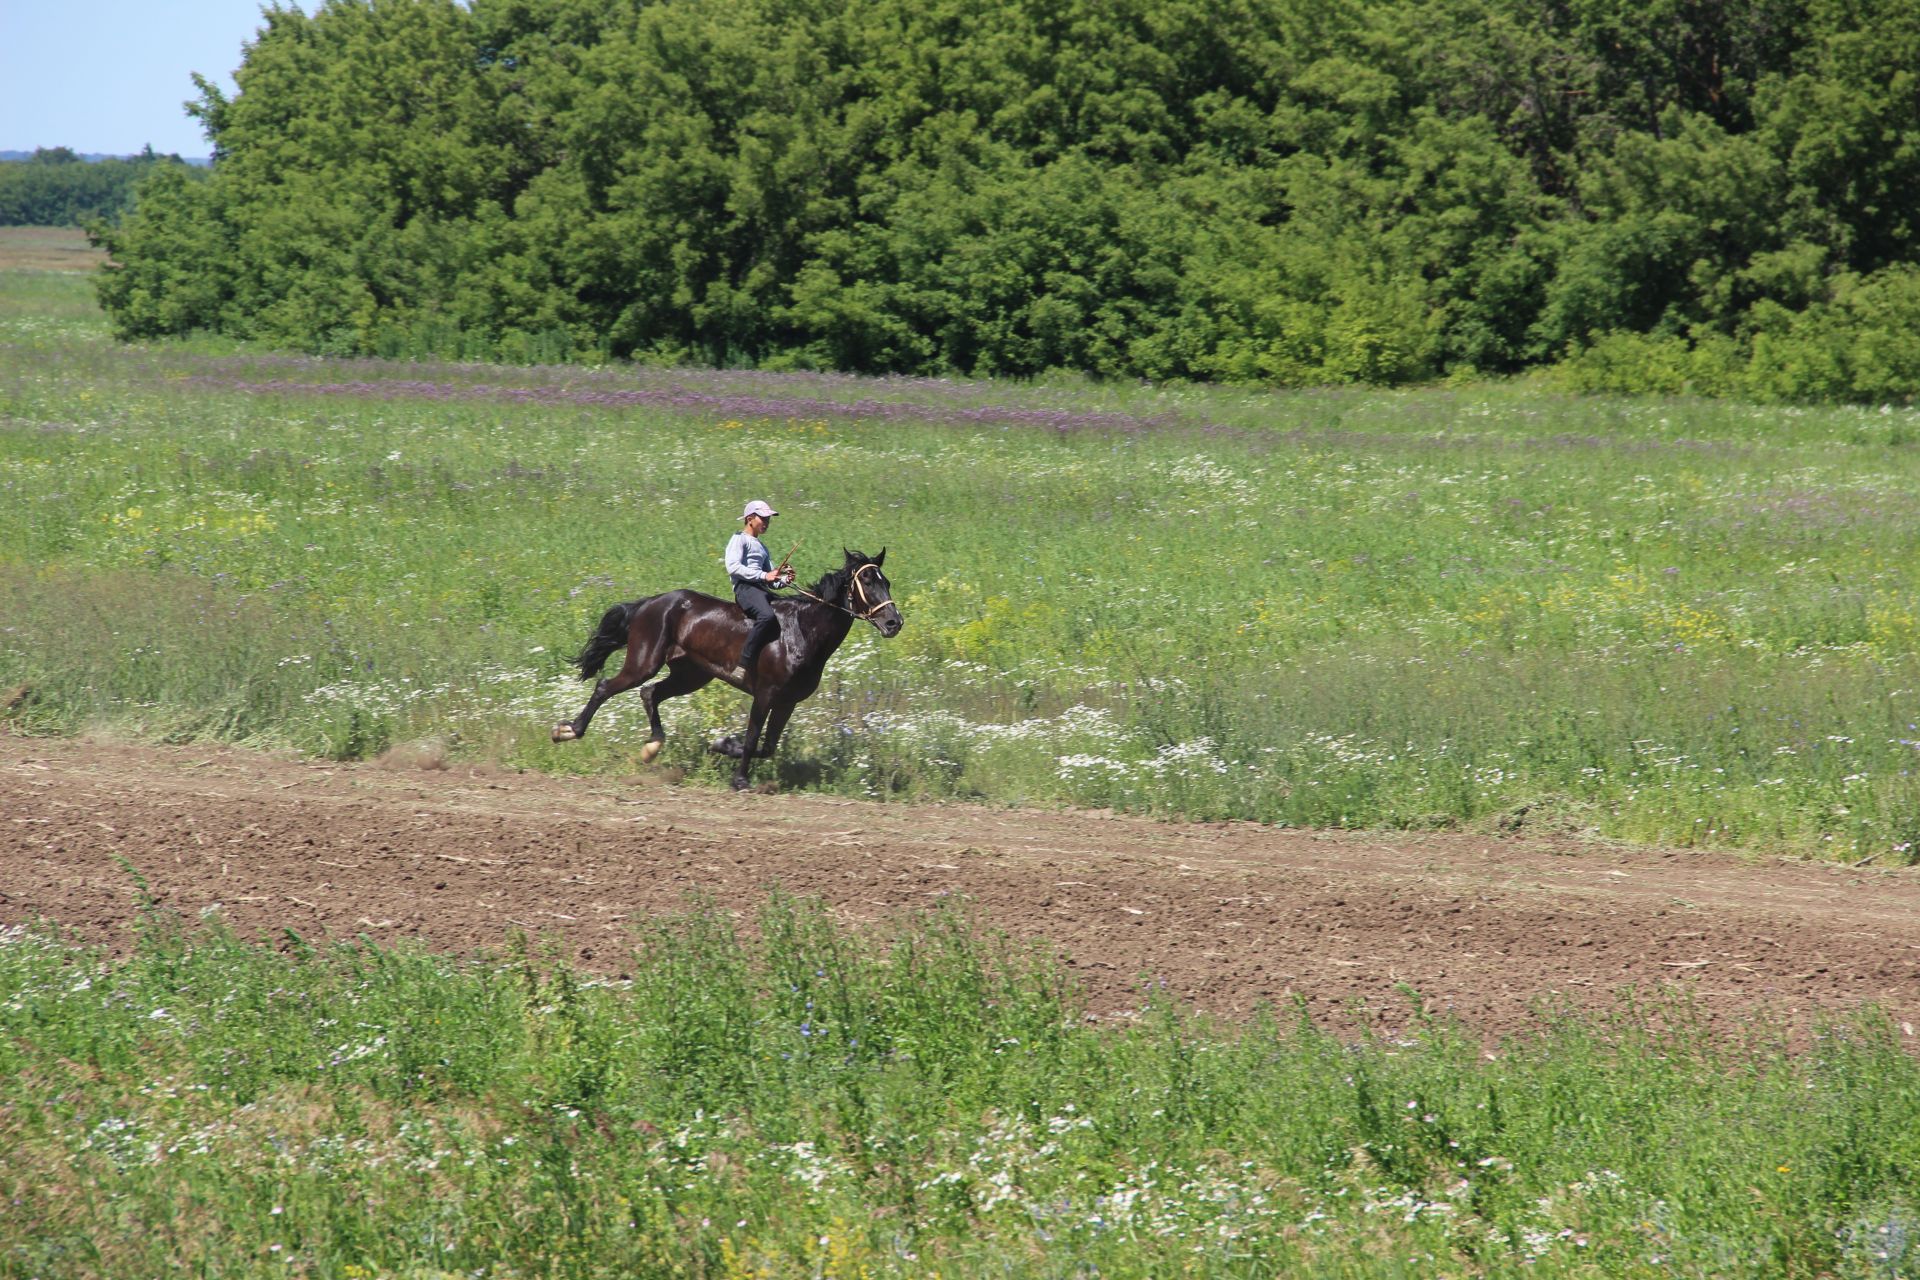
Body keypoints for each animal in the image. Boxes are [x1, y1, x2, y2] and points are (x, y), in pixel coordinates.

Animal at [552, 545, 902, 786]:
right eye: (866, 581)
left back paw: (651, 746)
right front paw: (739, 777)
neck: (802, 631)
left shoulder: (787, 702)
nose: (893, 622)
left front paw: (722, 745)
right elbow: (752, 737)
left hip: (691, 675)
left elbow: (767, 746)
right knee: (606, 686)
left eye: (886, 581)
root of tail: (650, 602)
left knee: (650, 694)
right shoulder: (765, 693)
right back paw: (567, 731)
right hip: (644, 662)